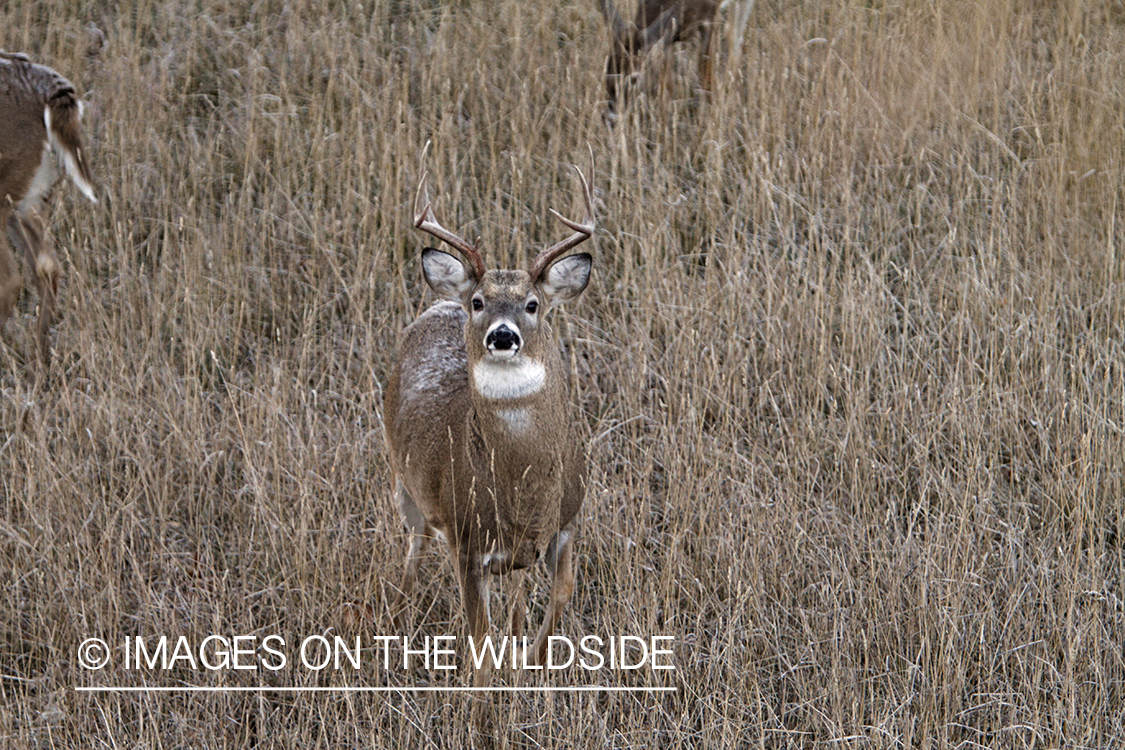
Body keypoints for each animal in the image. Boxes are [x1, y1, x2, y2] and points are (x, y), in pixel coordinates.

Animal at [384, 148, 598, 692]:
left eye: (533, 304)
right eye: (479, 302)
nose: (502, 335)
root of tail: (440, 302)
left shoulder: (568, 518)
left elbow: (562, 591)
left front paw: (533, 663)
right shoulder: (465, 540)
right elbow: (479, 647)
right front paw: (483, 702)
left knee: (518, 583)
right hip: (406, 480)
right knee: (414, 544)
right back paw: (396, 620)